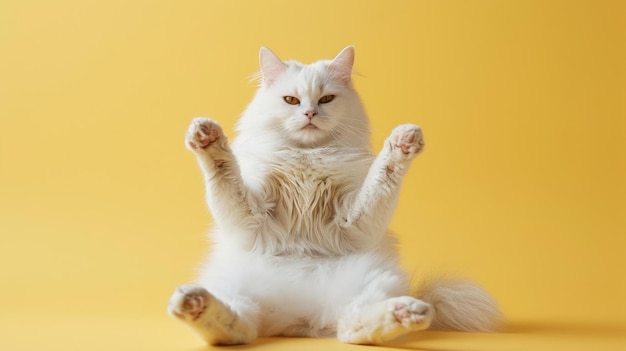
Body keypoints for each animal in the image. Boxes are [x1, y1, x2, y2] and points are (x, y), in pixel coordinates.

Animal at [168, 46, 500, 346]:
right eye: (291, 100)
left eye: (326, 99)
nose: (310, 113)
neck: (307, 159)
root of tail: (298, 317)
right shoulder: (250, 218)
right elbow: (224, 172)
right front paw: (207, 139)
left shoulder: (354, 221)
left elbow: (383, 175)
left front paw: (402, 144)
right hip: (233, 288)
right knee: (235, 329)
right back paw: (192, 303)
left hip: (374, 284)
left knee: (353, 330)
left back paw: (407, 312)